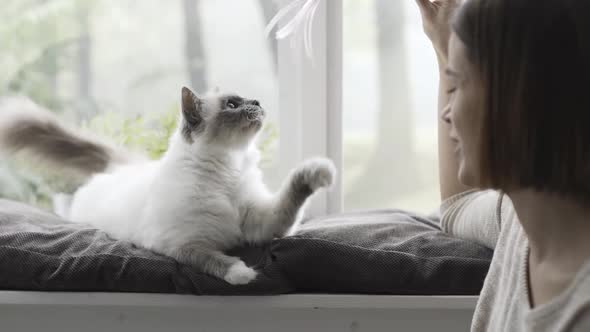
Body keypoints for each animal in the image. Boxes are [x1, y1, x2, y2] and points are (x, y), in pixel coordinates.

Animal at [0, 87, 338, 286]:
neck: (228, 172)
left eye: (248, 100)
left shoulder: (264, 223)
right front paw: (242, 273)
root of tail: (122, 167)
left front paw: (321, 172)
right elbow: (216, 259)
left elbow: (293, 194)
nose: (257, 102)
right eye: (232, 104)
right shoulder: (182, 245)